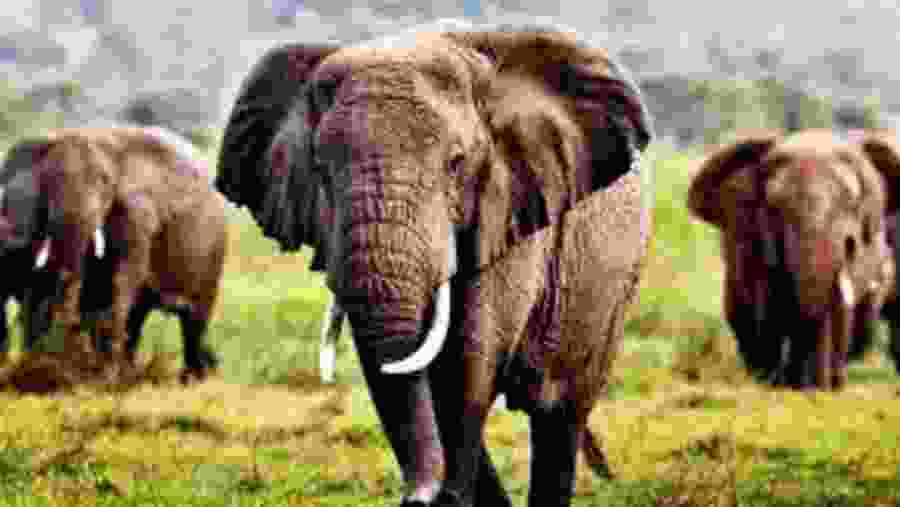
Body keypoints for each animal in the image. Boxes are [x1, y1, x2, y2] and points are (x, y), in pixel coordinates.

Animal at [0, 125, 227, 382]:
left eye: (106, 182)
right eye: (47, 182)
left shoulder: (137, 212)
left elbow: (122, 278)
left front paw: (99, 378)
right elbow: (42, 284)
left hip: (214, 249)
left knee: (194, 322)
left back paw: (190, 380)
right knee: (142, 315)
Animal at [216, 21, 653, 507]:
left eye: (456, 164)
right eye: (320, 170)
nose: (414, 497)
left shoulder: (507, 208)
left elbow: (468, 360)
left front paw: (448, 497)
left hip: (612, 288)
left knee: (560, 415)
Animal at [687, 129, 900, 391]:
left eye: (852, 203)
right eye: (773, 206)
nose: (820, 384)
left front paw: (818, 388)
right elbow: (768, 306)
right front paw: (778, 384)